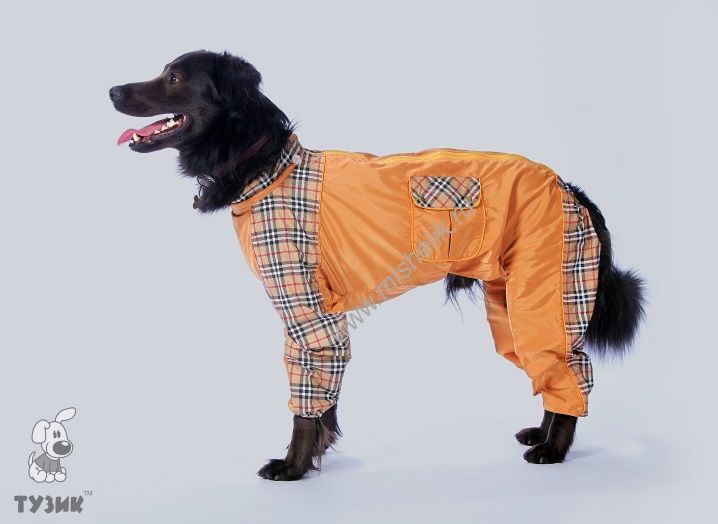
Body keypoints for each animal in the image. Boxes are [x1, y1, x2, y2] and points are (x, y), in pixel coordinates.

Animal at [110, 50, 645, 481]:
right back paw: (542, 432)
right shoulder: (320, 318)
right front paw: (322, 450)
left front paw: (293, 466)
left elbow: (305, 401)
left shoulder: (306, 313)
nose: (112, 90)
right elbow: (324, 401)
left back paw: (553, 450)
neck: (266, 164)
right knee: (556, 372)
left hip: (546, 294)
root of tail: (567, 186)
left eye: (174, 77)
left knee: (568, 369)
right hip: (514, 305)